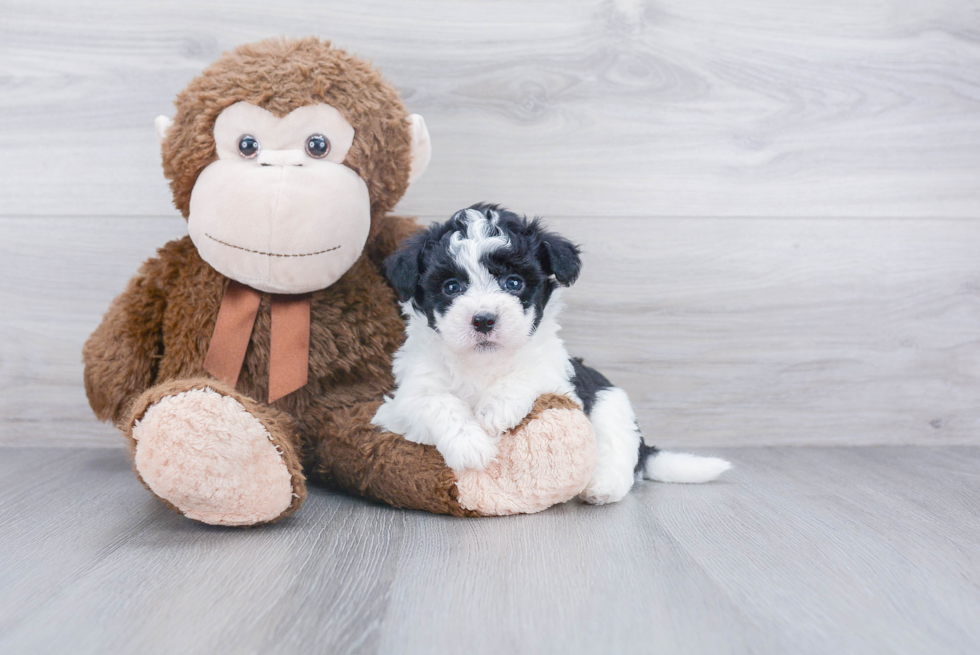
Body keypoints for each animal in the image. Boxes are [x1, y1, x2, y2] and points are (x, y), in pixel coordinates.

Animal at [372, 208, 732, 504]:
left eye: (513, 282)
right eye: (451, 287)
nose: (484, 319)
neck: (483, 362)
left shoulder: (557, 372)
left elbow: (529, 372)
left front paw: (495, 408)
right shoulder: (411, 390)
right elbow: (436, 402)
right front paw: (470, 444)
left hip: (611, 406)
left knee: (619, 454)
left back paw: (602, 487)